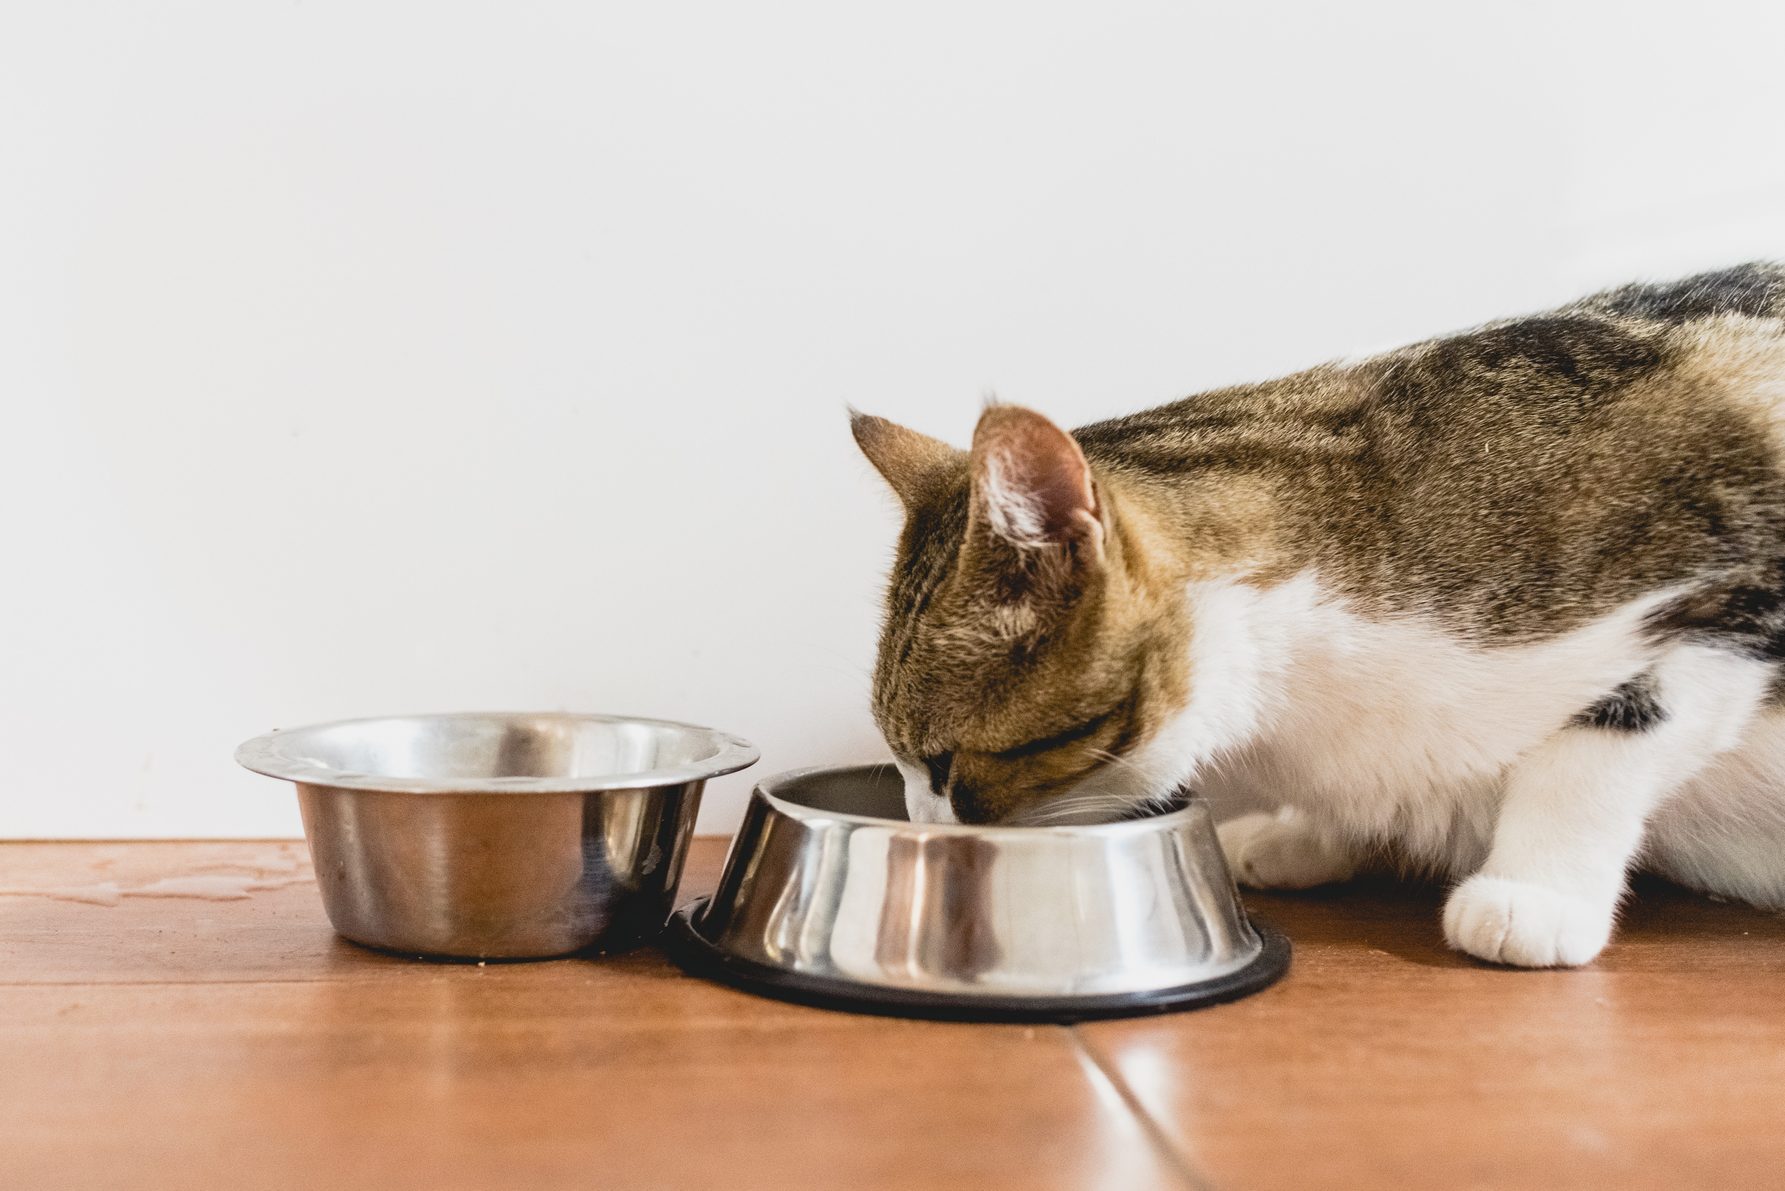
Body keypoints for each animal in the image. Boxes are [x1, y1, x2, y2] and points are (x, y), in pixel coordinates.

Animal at [846, 262, 1785, 971]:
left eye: (948, 763)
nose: (921, 830)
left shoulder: (1730, 601)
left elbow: (1594, 751)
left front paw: (1532, 892)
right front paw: (1308, 835)